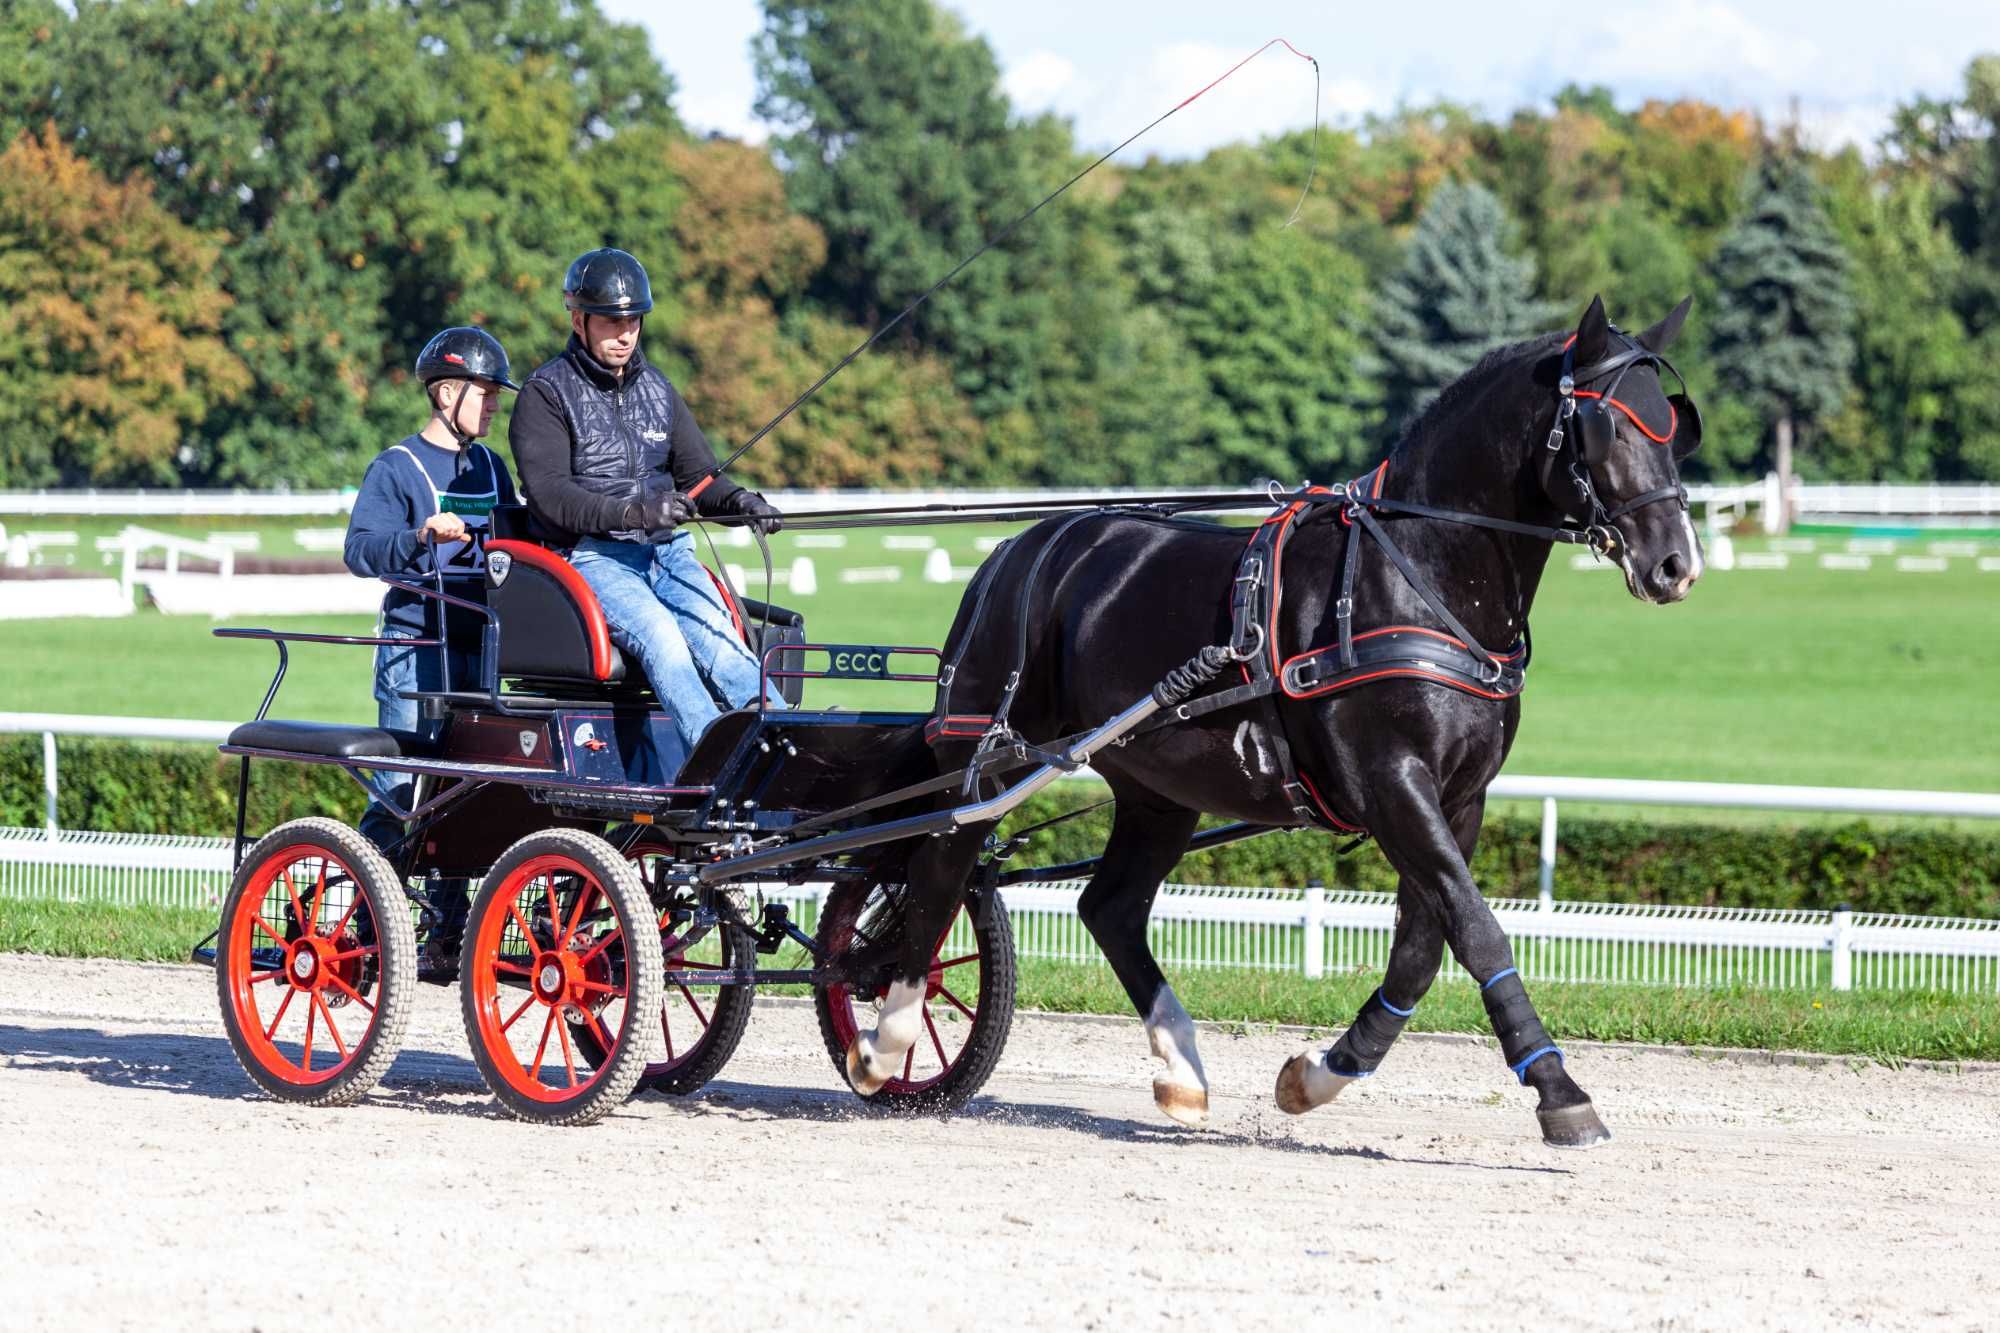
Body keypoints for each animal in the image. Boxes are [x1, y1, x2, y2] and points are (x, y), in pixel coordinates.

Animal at [844, 298, 1704, 1144]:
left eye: (1675, 425)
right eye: (1607, 424)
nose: (1678, 564)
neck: (1413, 571)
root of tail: (1016, 548)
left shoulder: (1459, 798)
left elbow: (1422, 951)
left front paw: (1322, 1072)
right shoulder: (1393, 784)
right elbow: (1477, 927)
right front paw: (1559, 1088)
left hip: (1160, 786)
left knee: (1108, 906)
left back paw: (1180, 1065)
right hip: (990, 754)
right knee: (940, 866)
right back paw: (887, 1035)